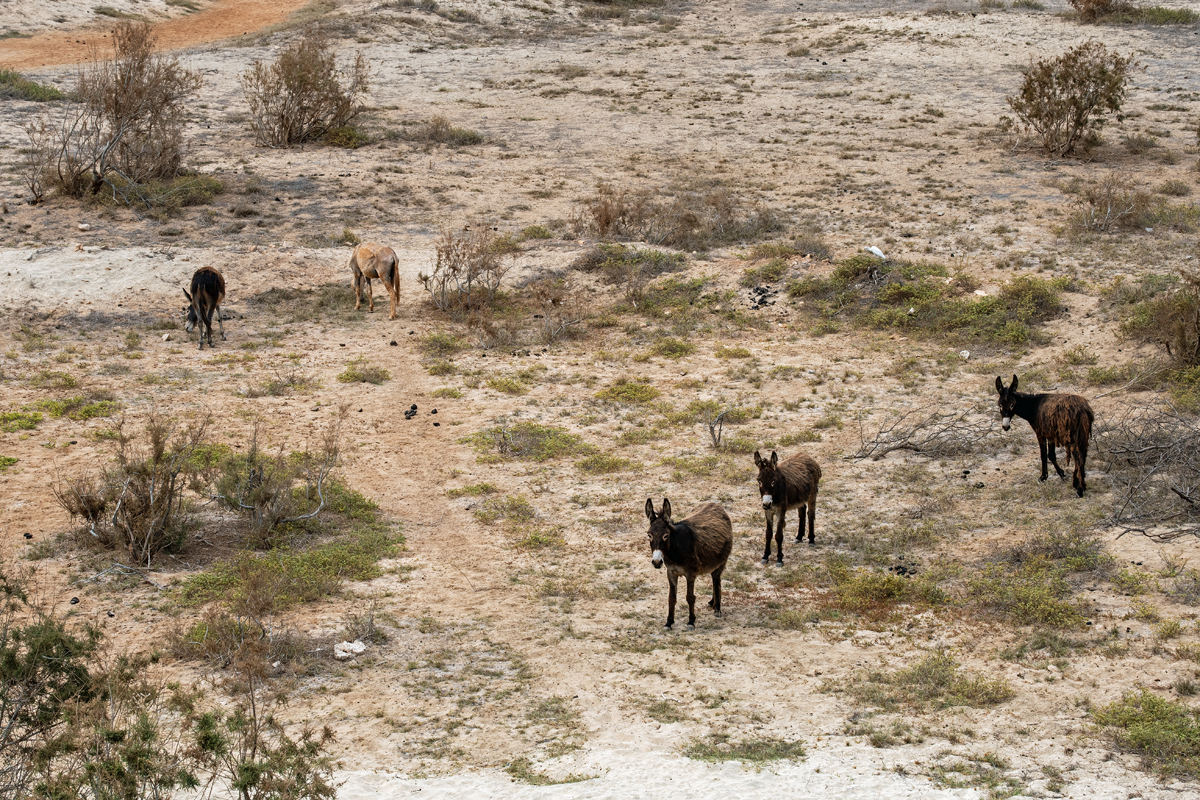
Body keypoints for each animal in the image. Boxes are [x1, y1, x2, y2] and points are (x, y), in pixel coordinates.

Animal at [644, 498, 733, 629]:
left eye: (666, 535)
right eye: (649, 535)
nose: (656, 562)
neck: (675, 551)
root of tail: (715, 504)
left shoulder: (690, 573)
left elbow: (690, 597)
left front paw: (691, 621)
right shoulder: (671, 572)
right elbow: (671, 598)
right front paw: (669, 622)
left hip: (721, 561)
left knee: (716, 579)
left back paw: (717, 608)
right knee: (714, 578)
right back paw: (712, 602)